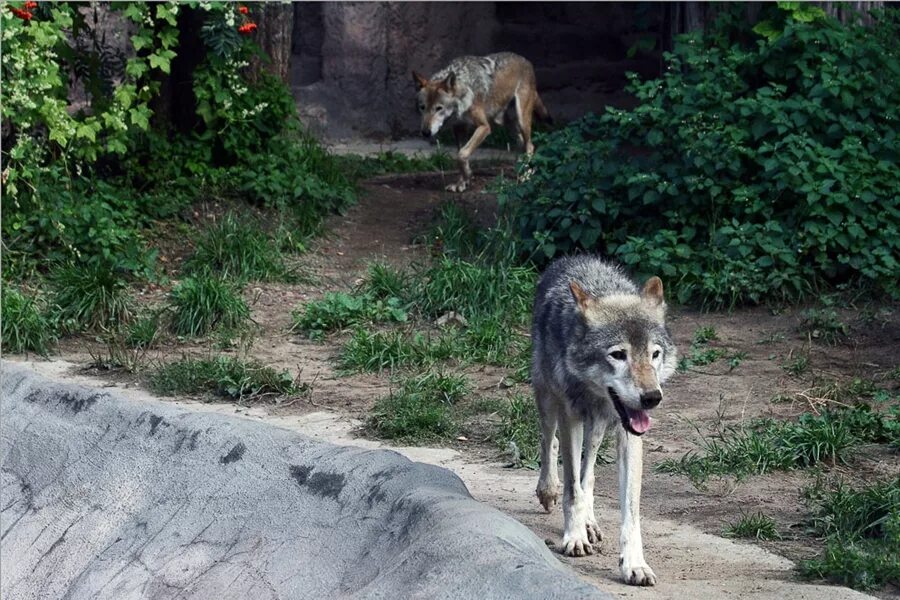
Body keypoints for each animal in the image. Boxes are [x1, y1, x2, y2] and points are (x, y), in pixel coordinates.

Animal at [414, 52, 552, 192]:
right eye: (422, 107)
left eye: (439, 108)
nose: (425, 132)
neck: (464, 89)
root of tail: (526, 61)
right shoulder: (459, 127)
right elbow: (460, 154)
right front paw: (462, 182)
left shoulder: (484, 127)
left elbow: (462, 154)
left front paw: (467, 176)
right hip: (503, 122)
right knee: (521, 142)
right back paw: (519, 169)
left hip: (521, 119)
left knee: (530, 145)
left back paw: (526, 175)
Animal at [536, 254, 676, 584]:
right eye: (618, 354)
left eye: (654, 354)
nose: (652, 397)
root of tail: (576, 257)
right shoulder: (570, 416)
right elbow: (572, 488)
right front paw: (573, 537)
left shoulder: (629, 434)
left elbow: (629, 509)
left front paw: (634, 563)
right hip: (547, 399)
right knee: (549, 443)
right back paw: (548, 490)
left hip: (599, 426)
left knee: (589, 472)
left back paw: (590, 522)